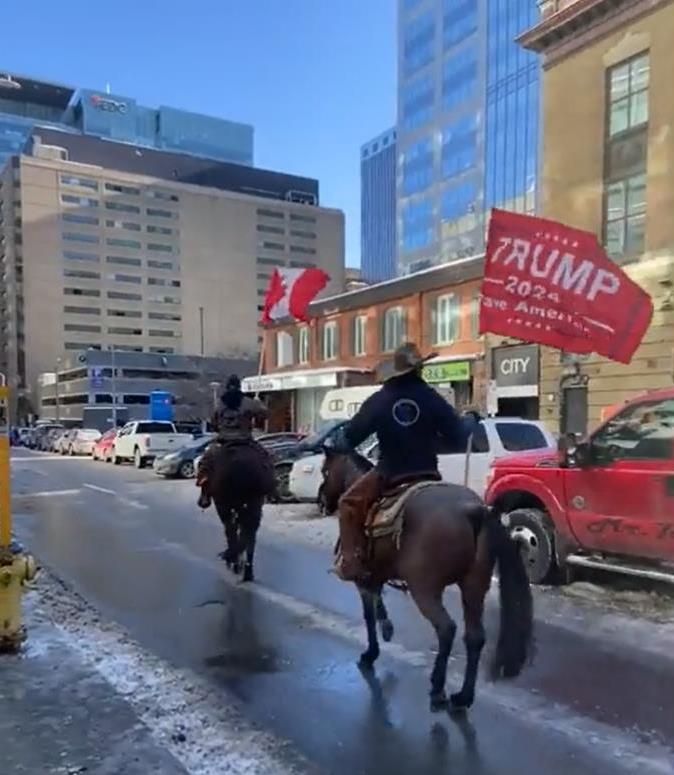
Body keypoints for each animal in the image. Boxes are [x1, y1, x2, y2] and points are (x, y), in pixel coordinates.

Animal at [209, 442, 274, 584]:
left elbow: (231, 531)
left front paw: (234, 562)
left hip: (234, 505)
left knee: (235, 531)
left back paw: (235, 561)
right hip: (252, 505)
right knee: (248, 534)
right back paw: (245, 570)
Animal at [320, 448, 532, 716]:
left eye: (325, 471)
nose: (322, 501)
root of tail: (473, 511)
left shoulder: (362, 579)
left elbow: (369, 614)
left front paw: (370, 653)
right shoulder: (375, 574)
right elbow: (378, 605)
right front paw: (386, 629)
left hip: (425, 589)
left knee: (446, 629)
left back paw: (437, 690)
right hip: (474, 587)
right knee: (475, 637)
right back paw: (463, 697)